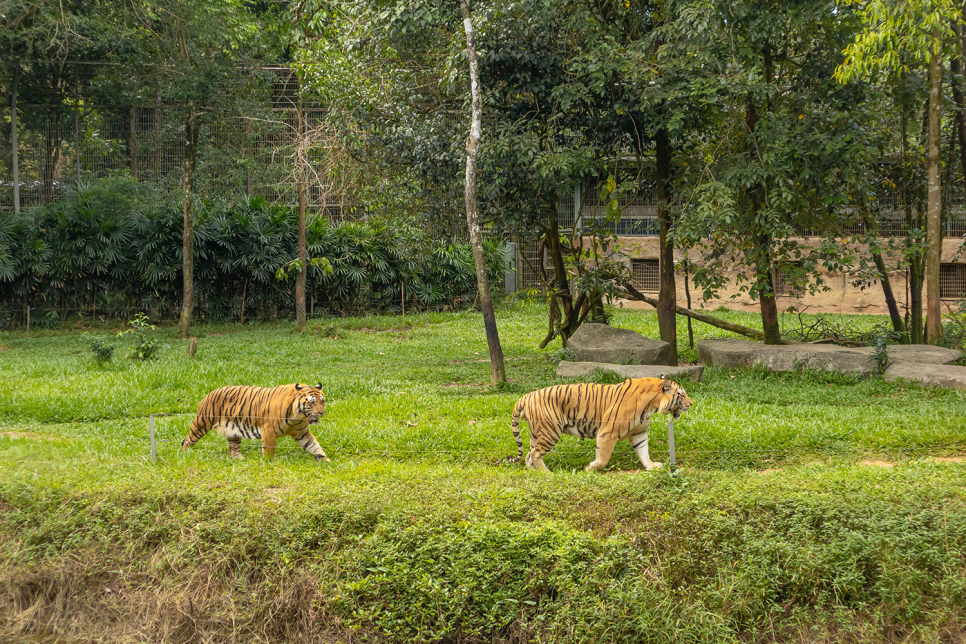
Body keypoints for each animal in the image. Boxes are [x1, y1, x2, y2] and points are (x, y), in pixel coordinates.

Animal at [181, 384, 328, 460]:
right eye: (312, 402)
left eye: (322, 401)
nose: (321, 412)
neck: (298, 416)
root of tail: (209, 393)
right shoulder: (268, 431)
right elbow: (269, 450)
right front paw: (269, 463)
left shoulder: (301, 433)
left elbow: (314, 445)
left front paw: (324, 459)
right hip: (201, 424)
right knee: (187, 440)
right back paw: (186, 455)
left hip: (233, 431)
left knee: (233, 449)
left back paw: (240, 459)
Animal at [506, 372, 696, 472]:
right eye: (682, 395)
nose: (691, 404)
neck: (652, 405)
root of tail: (526, 395)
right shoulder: (608, 432)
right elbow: (603, 457)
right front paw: (590, 468)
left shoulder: (639, 432)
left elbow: (643, 451)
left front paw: (651, 466)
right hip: (550, 431)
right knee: (535, 453)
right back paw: (547, 474)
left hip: (536, 433)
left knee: (529, 455)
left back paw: (534, 473)